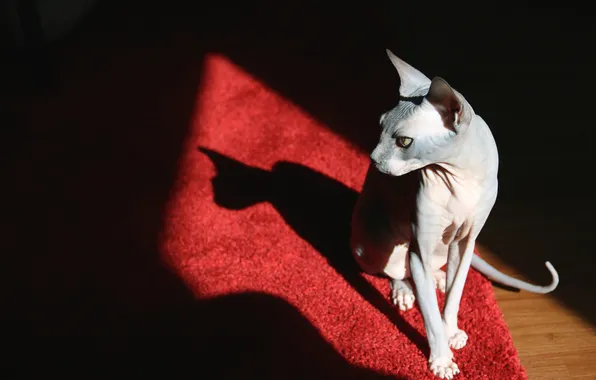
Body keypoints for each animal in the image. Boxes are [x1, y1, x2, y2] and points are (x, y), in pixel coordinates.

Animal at [350, 49, 560, 378]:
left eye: (404, 141)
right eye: (380, 126)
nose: (372, 159)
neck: (459, 179)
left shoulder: (465, 242)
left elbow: (453, 296)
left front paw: (451, 332)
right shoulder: (419, 247)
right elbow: (430, 314)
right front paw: (441, 359)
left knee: (431, 271)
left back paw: (437, 277)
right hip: (373, 239)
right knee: (394, 269)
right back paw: (403, 290)